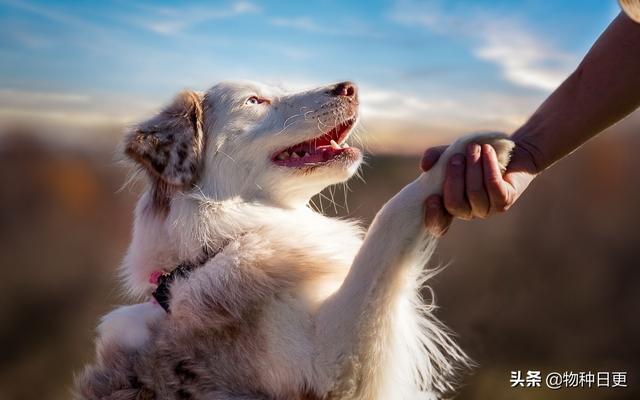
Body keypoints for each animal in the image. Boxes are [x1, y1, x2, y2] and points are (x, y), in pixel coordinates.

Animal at [75, 79, 516, 398]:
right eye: (255, 100)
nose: (350, 87)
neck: (217, 246)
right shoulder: (331, 367)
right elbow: (389, 221)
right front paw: (469, 152)